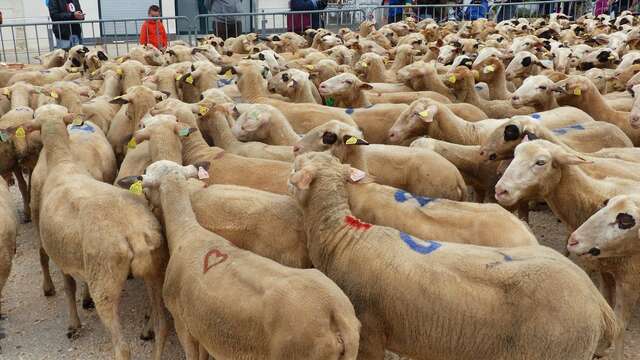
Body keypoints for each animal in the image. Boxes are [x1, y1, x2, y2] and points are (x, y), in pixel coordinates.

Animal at [33, 107, 168, 360]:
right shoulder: (76, 255)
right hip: (155, 270)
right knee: (161, 327)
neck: (63, 164)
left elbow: (69, 288)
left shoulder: (62, 257)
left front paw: (74, 324)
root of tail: (135, 234)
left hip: (105, 279)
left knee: (122, 347)